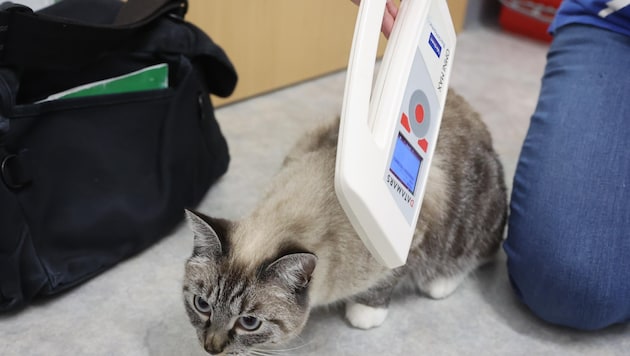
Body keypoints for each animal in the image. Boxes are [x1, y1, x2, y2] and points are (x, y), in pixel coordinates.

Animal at [183, 89, 508, 354]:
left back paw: (440, 283)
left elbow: (387, 280)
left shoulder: (410, 237)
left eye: (249, 322)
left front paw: (365, 312)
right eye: (202, 305)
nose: (211, 349)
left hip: (473, 224)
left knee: (481, 254)